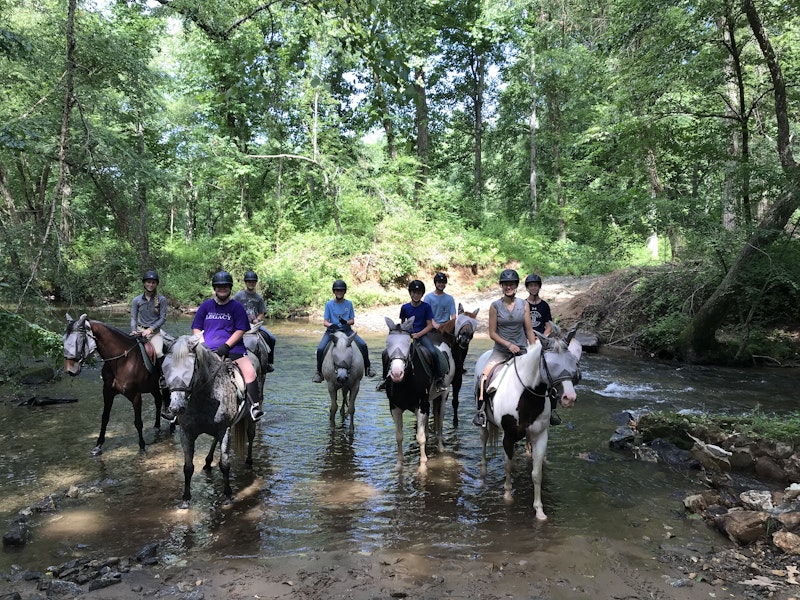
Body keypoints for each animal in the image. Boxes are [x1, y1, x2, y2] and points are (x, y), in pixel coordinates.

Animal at [63, 314, 170, 454]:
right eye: (64, 339)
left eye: (79, 340)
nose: (70, 370)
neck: (122, 360)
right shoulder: (108, 392)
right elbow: (105, 418)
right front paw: (98, 446)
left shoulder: (135, 396)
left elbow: (138, 422)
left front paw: (142, 447)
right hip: (152, 387)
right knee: (158, 400)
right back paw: (157, 427)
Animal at [161, 336, 260, 508]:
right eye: (166, 369)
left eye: (191, 370)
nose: (176, 407)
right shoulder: (186, 433)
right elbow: (188, 467)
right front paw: (185, 499)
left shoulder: (224, 429)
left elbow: (225, 464)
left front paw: (228, 496)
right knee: (214, 440)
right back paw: (207, 462)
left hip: (249, 416)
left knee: (251, 434)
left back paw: (248, 462)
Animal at [380, 316, 440, 472]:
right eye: (388, 343)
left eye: (408, 343)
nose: (396, 373)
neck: (405, 383)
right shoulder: (394, 408)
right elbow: (399, 436)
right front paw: (399, 463)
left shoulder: (421, 406)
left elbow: (420, 437)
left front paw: (423, 465)